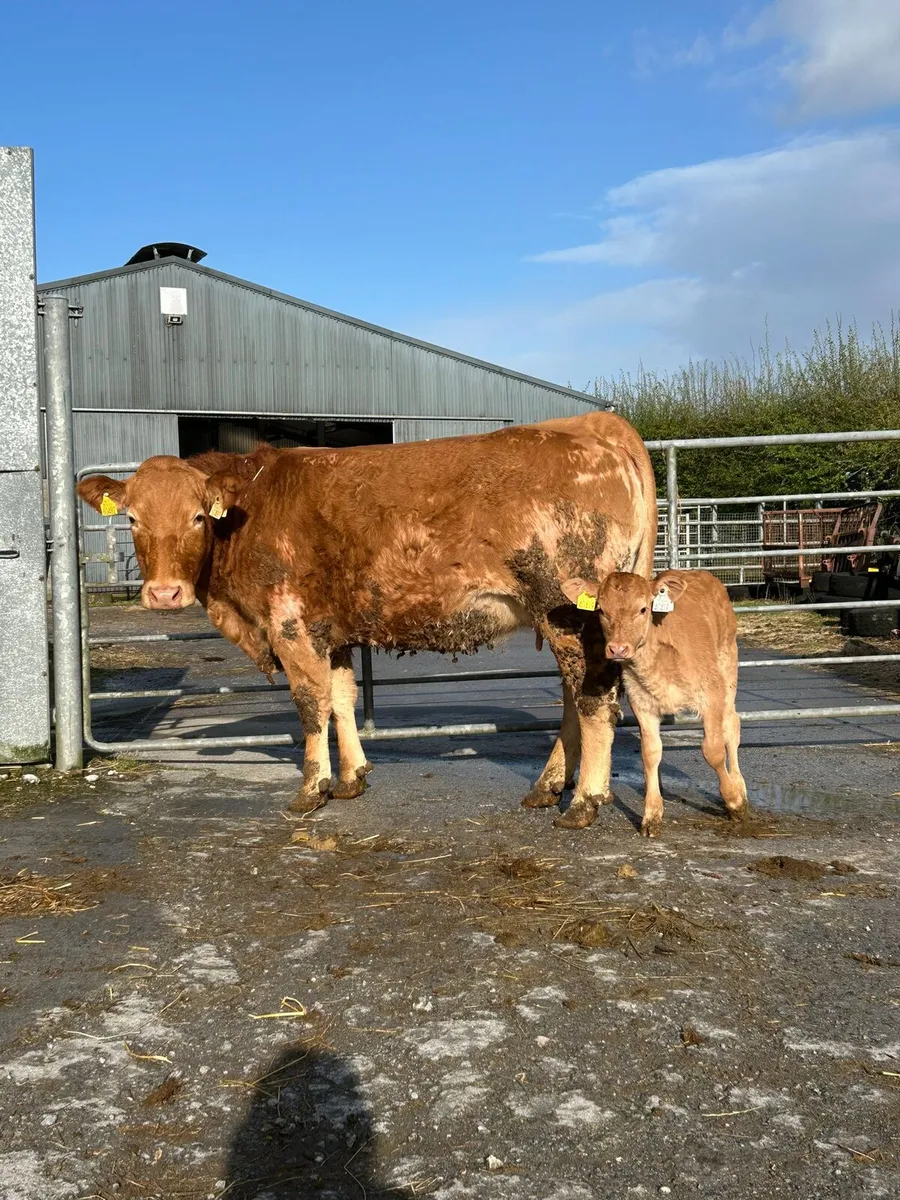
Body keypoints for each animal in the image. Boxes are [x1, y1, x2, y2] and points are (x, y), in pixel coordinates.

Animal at [78, 411, 657, 826]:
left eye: (198, 516)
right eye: (132, 518)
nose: (164, 593)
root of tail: (593, 424)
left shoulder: (289, 624)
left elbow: (309, 705)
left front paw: (311, 789)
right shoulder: (328, 629)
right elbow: (341, 698)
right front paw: (352, 777)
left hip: (570, 613)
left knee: (595, 701)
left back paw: (584, 802)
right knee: (574, 698)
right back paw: (547, 786)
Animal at [560, 570, 749, 836]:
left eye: (643, 609)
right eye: (601, 610)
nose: (617, 648)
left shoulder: (712, 693)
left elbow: (713, 750)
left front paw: (732, 799)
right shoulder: (642, 703)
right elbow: (650, 753)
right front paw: (651, 815)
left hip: (728, 668)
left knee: (731, 726)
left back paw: (739, 788)